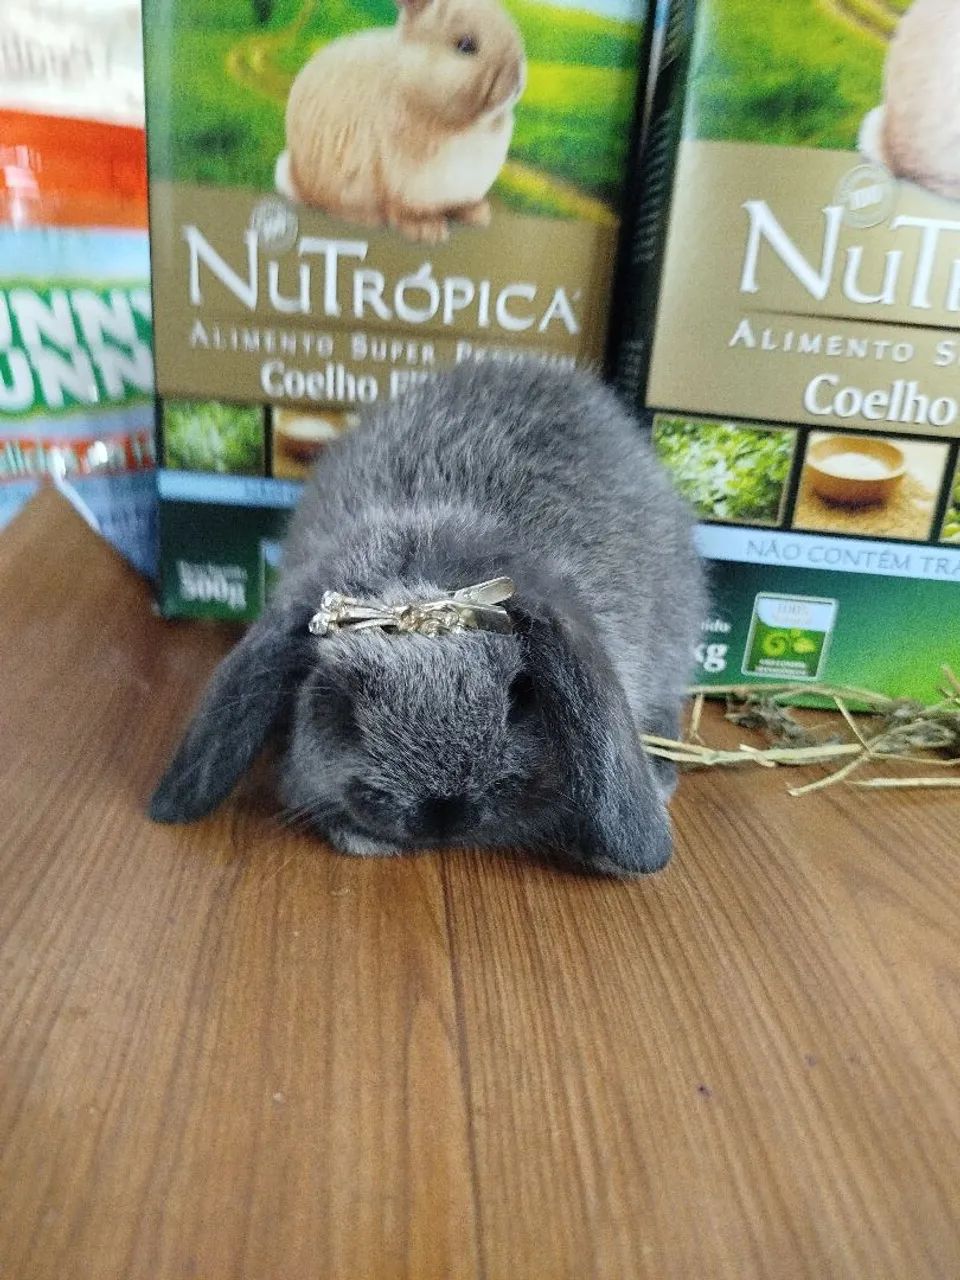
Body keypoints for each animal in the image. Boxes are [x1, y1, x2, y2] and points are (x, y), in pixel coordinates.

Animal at [274, 0, 526, 244]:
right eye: (466, 45)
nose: (517, 78)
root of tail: (295, 175)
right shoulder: (403, 183)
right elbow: (402, 209)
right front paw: (427, 231)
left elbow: (459, 204)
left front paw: (477, 215)